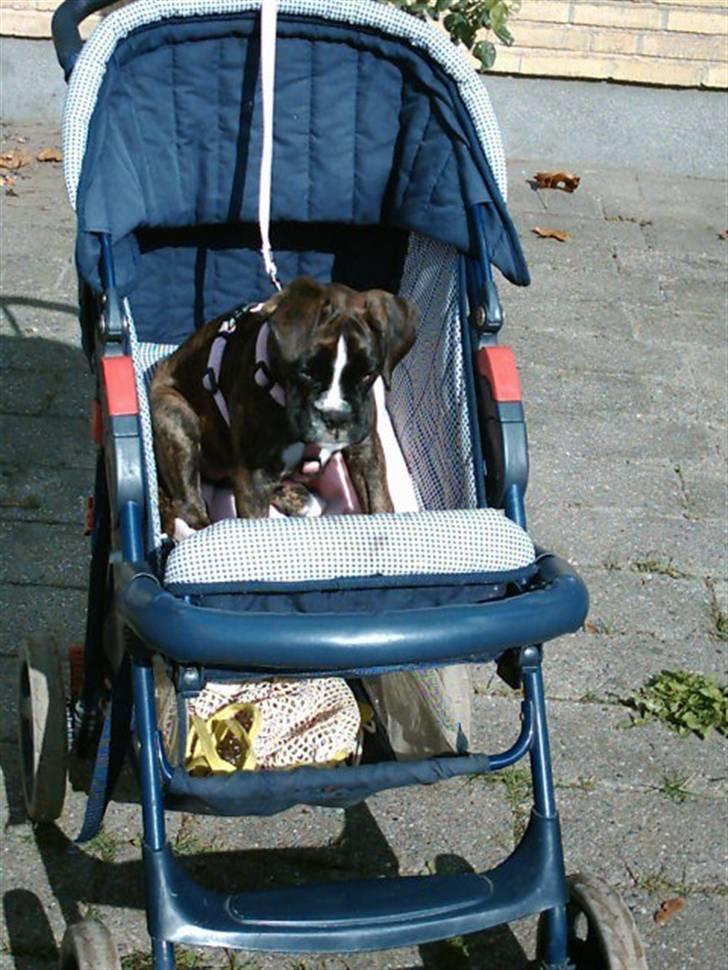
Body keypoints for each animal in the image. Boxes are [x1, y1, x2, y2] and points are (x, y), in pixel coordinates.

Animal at [149, 272, 416, 532]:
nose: (335, 416)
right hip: (176, 415)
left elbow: (379, 500)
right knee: (189, 507)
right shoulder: (252, 477)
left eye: (367, 373)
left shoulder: (365, 448)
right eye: (305, 372)